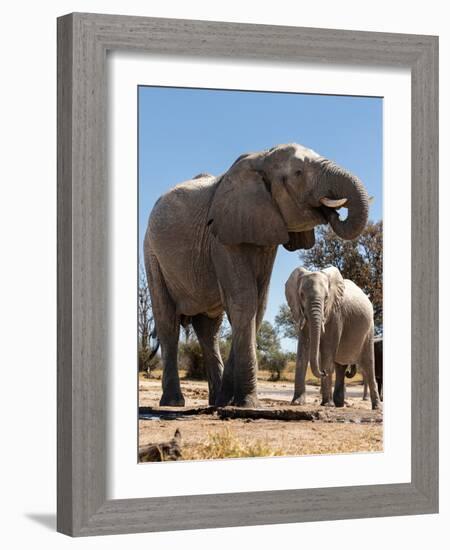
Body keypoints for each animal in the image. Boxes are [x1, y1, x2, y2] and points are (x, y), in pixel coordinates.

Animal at [144, 144, 370, 408]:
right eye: (299, 173)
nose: (333, 212)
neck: (261, 158)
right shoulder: (221, 235)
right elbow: (245, 300)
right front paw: (248, 404)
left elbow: (258, 305)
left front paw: (230, 402)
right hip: (152, 253)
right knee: (167, 321)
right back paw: (173, 402)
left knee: (209, 330)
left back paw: (215, 401)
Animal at [284, 266, 380, 412]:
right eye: (301, 295)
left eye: (326, 297)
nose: (323, 372)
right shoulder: (300, 311)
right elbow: (303, 350)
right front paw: (297, 403)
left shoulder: (336, 314)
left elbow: (328, 350)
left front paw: (327, 404)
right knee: (340, 366)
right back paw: (339, 404)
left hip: (370, 329)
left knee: (368, 365)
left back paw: (376, 407)